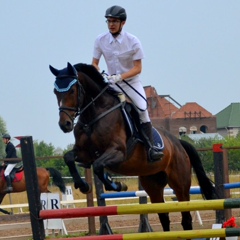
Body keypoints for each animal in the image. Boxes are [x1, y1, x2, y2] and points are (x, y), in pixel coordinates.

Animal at [49, 62, 218, 232]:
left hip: (180, 183)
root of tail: (178, 143)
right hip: (153, 184)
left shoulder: (118, 152)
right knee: (164, 216)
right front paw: (83, 185)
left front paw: (117, 184)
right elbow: (69, 158)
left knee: (186, 218)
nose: (65, 124)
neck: (94, 115)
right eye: (55, 92)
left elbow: (97, 166)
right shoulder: (85, 154)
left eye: (72, 90)